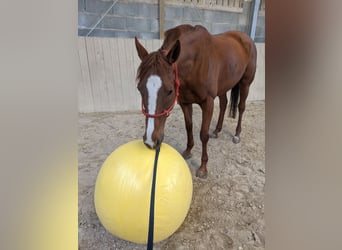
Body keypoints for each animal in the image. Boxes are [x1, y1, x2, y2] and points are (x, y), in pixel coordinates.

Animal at [136, 24, 256, 178]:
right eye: (139, 88)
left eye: (170, 91)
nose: (150, 141)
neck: (196, 62)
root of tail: (246, 38)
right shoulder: (185, 103)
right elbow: (189, 126)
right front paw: (188, 151)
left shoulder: (208, 103)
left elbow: (203, 134)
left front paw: (203, 167)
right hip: (223, 87)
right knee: (224, 104)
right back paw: (217, 130)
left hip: (245, 83)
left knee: (241, 107)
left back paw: (236, 134)